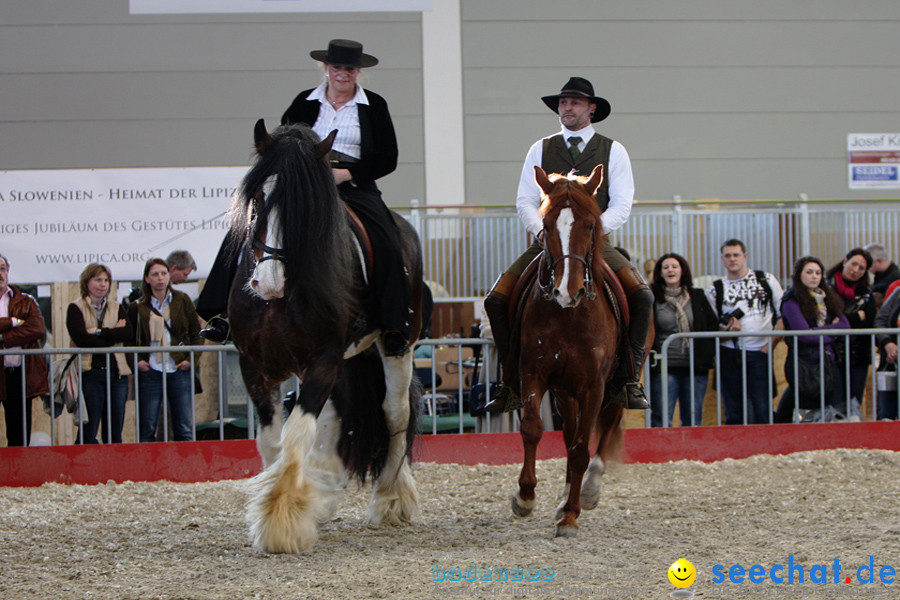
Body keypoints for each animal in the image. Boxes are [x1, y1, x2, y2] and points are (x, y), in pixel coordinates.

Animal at [225, 120, 422, 552]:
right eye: (257, 198)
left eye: (306, 207)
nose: (268, 283)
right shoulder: (254, 364)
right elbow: (274, 440)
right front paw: (285, 503)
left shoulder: (323, 359)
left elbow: (297, 432)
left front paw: (279, 522)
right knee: (334, 413)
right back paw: (322, 490)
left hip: (396, 345)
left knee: (394, 412)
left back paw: (389, 498)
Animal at [512, 165, 624, 540]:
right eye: (546, 226)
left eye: (590, 225)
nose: (566, 291)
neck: (568, 315)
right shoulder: (534, 371)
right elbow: (533, 428)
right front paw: (525, 497)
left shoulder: (595, 385)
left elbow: (579, 450)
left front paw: (571, 516)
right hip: (565, 390)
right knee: (570, 429)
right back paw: (563, 498)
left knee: (607, 423)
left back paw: (587, 490)